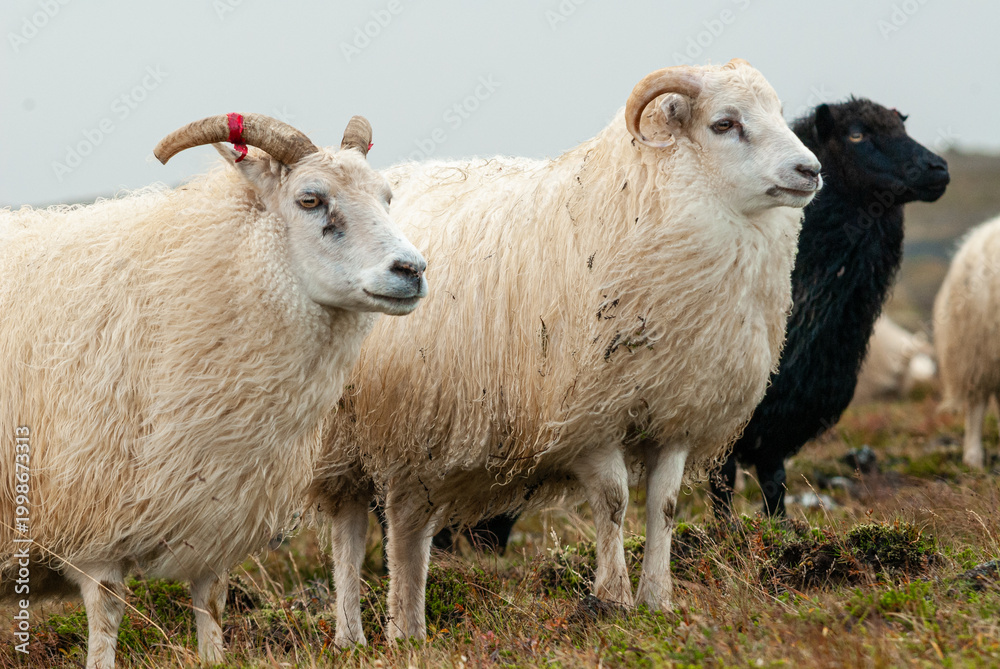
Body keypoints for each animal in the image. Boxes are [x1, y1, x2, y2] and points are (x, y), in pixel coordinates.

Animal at [0, 113, 427, 669]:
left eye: (386, 196)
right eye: (310, 199)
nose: (412, 270)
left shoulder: (215, 510)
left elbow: (213, 602)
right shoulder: (92, 511)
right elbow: (108, 613)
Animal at [310, 59, 822, 646]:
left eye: (778, 112)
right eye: (724, 123)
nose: (810, 171)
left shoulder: (675, 416)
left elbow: (665, 506)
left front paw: (659, 600)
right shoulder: (589, 419)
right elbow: (615, 502)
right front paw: (614, 600)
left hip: (415, 432)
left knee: (406, 524)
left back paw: (404, 630)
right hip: (349, 433)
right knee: (349, 533)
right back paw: (354, 633)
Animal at [711, 98, 950, 517]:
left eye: (902, 128)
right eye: (856, 134)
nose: (939, 168)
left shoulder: (784, 413)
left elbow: (774, 482)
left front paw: (780, 529)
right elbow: (721, 485)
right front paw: (725, 533)